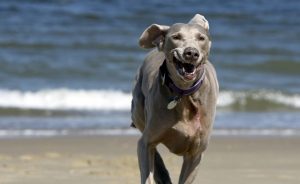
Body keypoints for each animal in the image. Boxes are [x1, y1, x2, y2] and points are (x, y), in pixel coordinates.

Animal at [131, 14, 218, 184]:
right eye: (176, 37)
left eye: (201, 38)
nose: (191, 53)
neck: (183, 93)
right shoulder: (147, 141)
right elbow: (147, 159)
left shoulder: (195, 153)